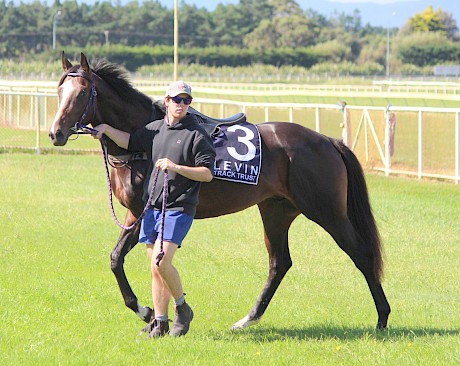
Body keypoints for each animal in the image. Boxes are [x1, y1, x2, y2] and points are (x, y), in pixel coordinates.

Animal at [48, 53, 390, 330]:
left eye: (81, 93)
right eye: (59, 91)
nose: (56, 133)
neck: (144, 138)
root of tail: (328, 141)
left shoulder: (148, 211)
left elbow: (131, 260)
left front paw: (151, 313)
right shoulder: (138, 214)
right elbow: (117, 259)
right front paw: (149, 313)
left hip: (327, 211)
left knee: (361, 254)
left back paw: (382, 318)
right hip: (276, 210)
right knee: (279, 263)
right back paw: (247, 319)